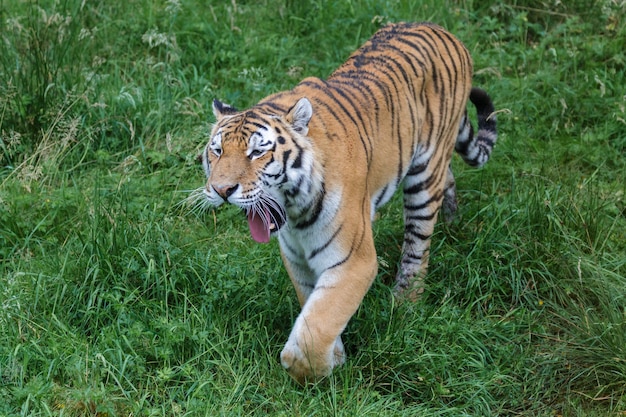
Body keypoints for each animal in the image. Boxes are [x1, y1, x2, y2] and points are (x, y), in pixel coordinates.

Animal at [197, 22, 494, 384]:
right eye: (217, 151)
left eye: (256, 152)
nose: (222, 189)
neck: (295, 213)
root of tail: (442, 30)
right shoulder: (297, 260)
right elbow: (313, 307)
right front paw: (336, 357)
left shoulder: (354, 260)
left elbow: (316, 326)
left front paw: (319, 370)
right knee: (447, 181)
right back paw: (451, 221)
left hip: (424, 175)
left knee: (418, 244)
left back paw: (405, 301)